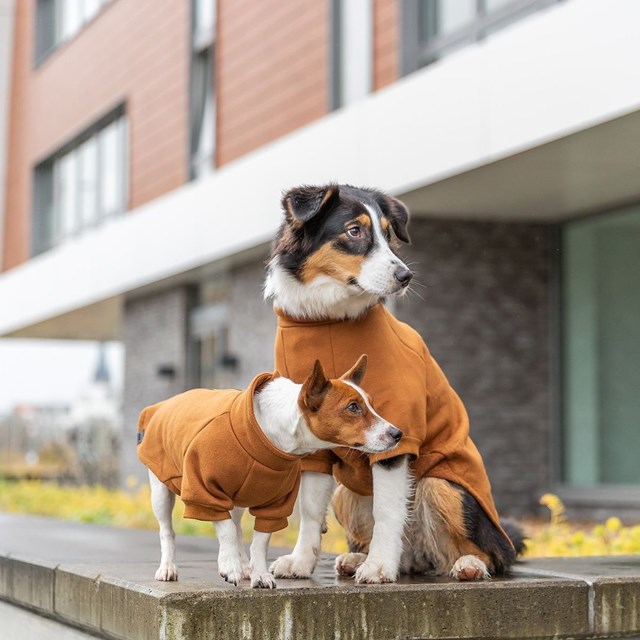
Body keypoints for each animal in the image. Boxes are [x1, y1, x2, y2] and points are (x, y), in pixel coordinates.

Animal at [138, 356, 400, 592]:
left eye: (371, 404)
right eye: (353, 407)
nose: (398, 433)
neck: (269, 431)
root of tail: (159, 406)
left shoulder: (274, 503)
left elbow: (258, 542)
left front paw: (259, 574)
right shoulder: (204, 491)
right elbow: (225, 531)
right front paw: (230, 565)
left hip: (239, 497)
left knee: (236, 525)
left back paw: (244, 566)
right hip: (161, 492)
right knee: (168, 530)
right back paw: (168, 568)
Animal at [262, 182, 524, 584]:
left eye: (388, 235)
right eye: (355, 231)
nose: (405, 277)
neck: (328, 320)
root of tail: (419, 557)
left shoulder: (395, 433)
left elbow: (387, 512)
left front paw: (379, 568)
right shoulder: (312, 437)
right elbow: (308, 509)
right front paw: (302, 562)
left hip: (443, 486)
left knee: (492, 555)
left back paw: (467, 564)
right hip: (345, 493)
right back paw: (359, 557)